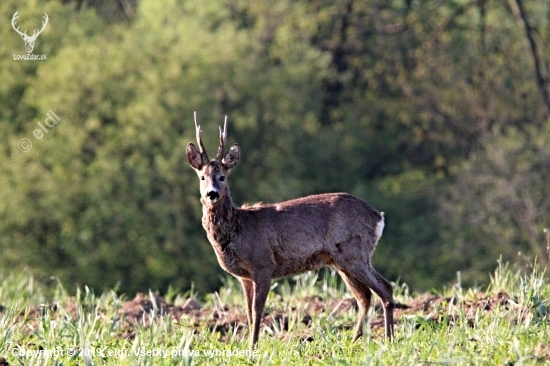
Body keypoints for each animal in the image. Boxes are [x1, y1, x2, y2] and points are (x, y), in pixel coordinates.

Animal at [188, 113, 394, 348]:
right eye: (202, 177)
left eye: (223, 176)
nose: (212, 194)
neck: (238, 229)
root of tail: (378, 217)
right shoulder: (244, 276)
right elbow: (248, 313)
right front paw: (249, 344)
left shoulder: (263, 264)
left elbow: (257, 311)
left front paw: (253, 346)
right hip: (340, 260)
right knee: (365, 296)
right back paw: (354, 340)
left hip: (354, 251)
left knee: (385, 288)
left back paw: (388, 339)